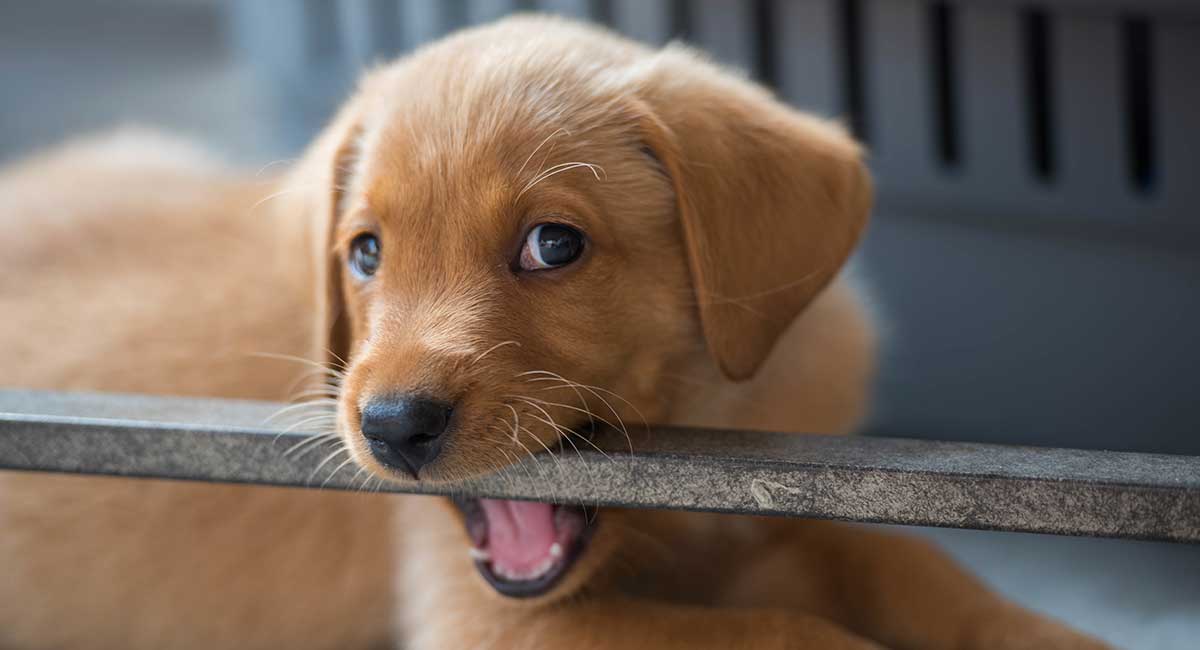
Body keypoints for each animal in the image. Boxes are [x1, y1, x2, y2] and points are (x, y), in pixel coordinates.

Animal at [0, 15, 1104, 650]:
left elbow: (906, 562)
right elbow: (783, 628)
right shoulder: (493, 623)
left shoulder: (782, 506)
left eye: (552, 244)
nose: (392, 428)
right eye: (365, 253)